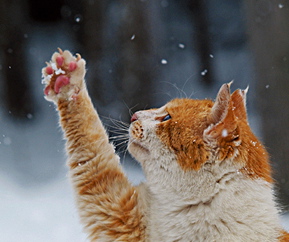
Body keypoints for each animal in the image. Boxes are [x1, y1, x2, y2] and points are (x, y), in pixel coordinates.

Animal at [41, 49, 288, 242]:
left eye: (167, 117)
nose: (135, 115)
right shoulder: (120, 210)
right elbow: (91, 141)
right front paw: (66, 79)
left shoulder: (113, 210)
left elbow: (92, 149)